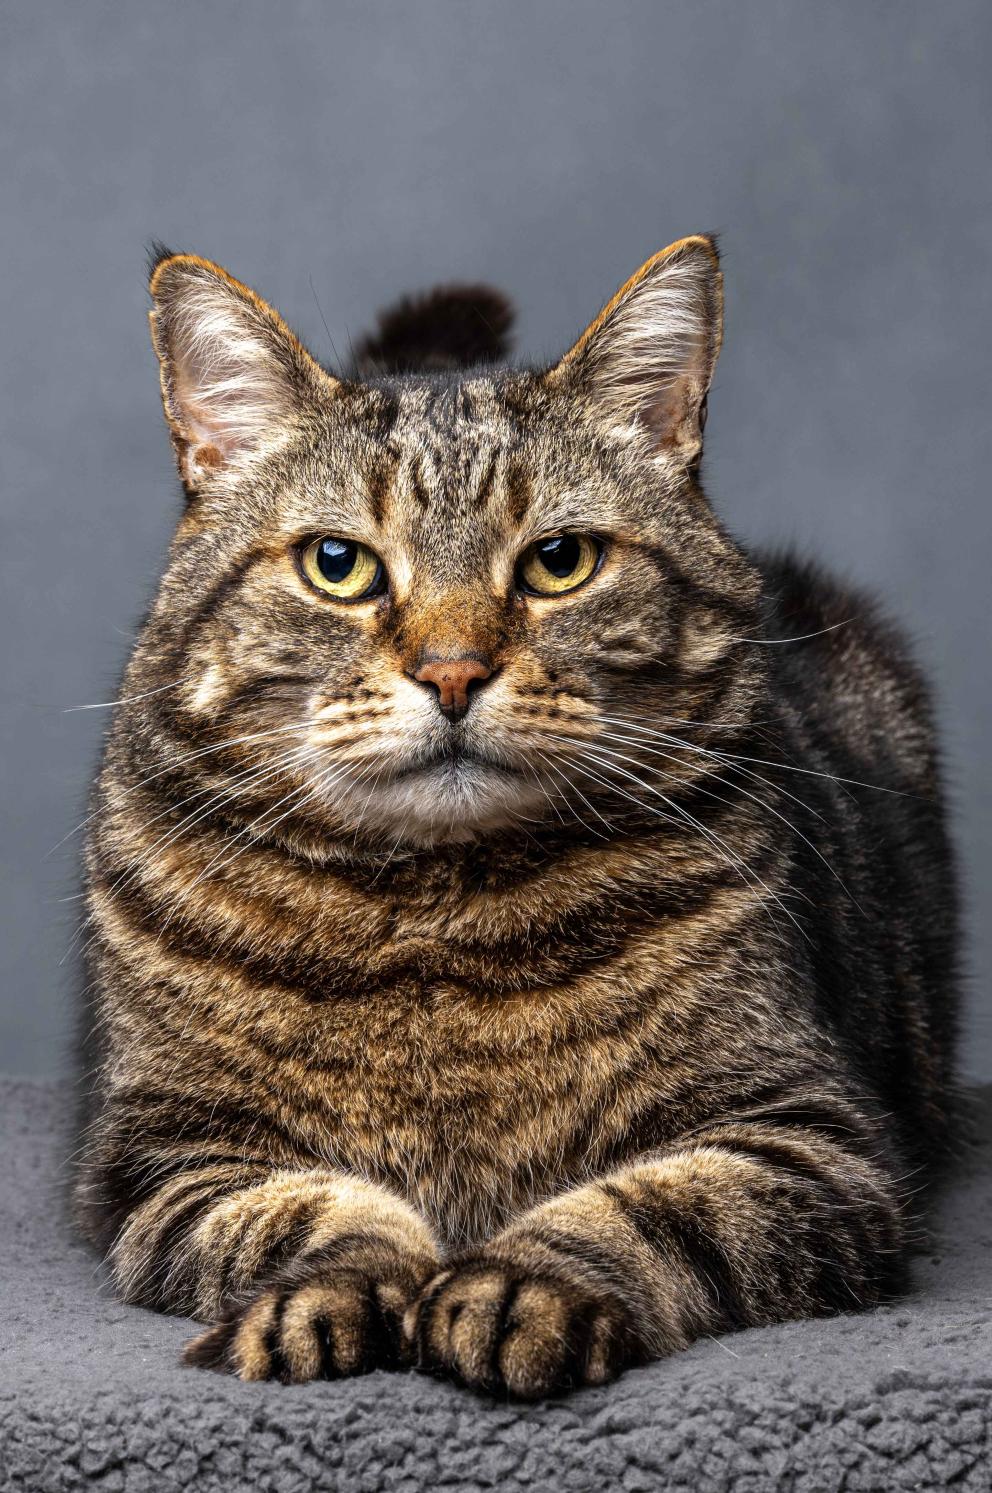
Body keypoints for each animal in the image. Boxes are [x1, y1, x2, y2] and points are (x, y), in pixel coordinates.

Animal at [73, 235, 956, 1397]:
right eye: (337, 565)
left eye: (558, 560)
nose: (453, 670)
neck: (439, 919)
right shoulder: (166, 1151)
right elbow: (301, 1208)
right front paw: (336, 1284)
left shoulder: (804, 1132)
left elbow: (651, 1207)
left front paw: (519, 1287)